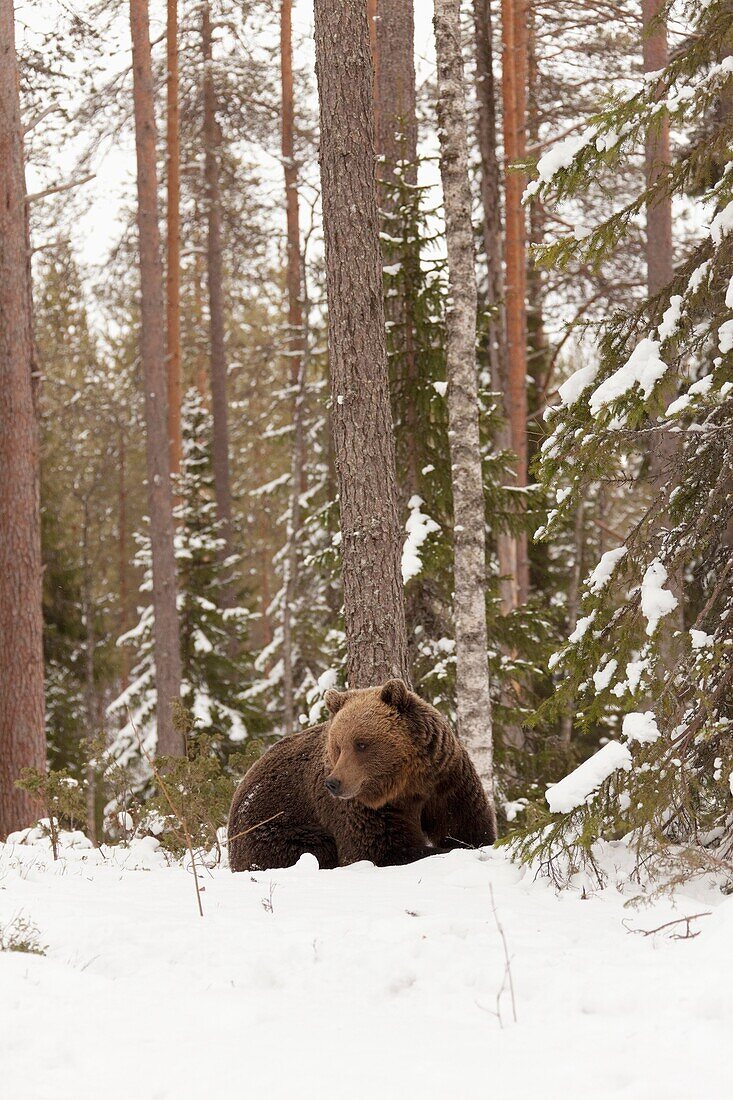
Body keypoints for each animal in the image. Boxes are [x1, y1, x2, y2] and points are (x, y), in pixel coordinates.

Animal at [225, 673, 493, 871]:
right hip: (273, 828)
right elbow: (384, 850)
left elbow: (468, 826)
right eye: (338, 746)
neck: (407, 783)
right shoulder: (366, 809)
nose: (333, 783)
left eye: (361, 744)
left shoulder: (446, 780)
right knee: (314, 847)